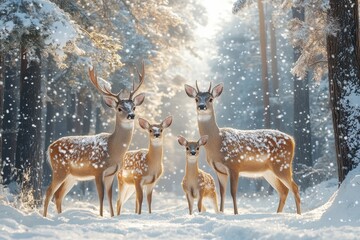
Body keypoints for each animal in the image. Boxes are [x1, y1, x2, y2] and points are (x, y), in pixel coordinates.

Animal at [43, 62, 146, 217]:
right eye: (119, 108)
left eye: (133, 107)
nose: (131, 115)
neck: (113, 150)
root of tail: (49, 148)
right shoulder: (98, 170)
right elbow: (101, 196)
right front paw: (101, 216)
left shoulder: (111, 173)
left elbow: (109, 196)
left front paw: (112, 216)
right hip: (59, 168)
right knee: (49, 191)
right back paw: (44, 216)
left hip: (71, 176)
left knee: (58, 195)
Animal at [186, 82, 300, 214]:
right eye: (196, 99)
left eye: (210, 99)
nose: (202, 106)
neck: (217, 142)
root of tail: (292, 140)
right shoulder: (219, 170)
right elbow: (222, 193)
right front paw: (222, 213)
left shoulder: (234, 165)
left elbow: (233, 192)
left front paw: (236, 213)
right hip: (268, 171)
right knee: (283, 190)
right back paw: (278, 213)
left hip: (282, 165)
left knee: (295, 188)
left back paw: (298, 214)